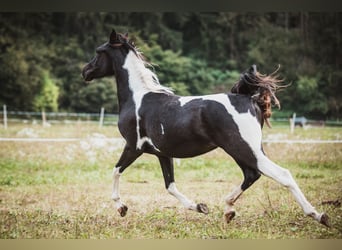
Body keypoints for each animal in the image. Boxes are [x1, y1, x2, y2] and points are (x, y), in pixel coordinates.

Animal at [82, 29, 328, 227]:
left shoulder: (133, 146)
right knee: (252, 175)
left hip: (244, 148)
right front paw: (200, 207)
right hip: (241, 149)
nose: (85, 72)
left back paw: (319, 215)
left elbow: (115, 171)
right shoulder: (163, 153)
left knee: (280, 174)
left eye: (98, 51)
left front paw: (121, 208)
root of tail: (249, 98)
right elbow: (170, 185)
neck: (138, 98)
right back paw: (228, 210)